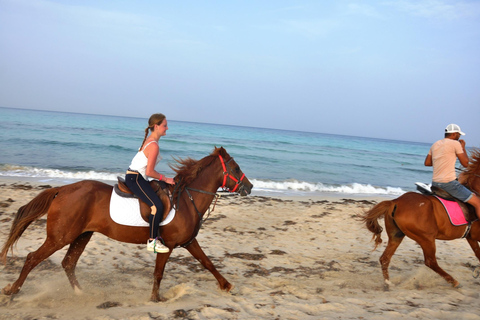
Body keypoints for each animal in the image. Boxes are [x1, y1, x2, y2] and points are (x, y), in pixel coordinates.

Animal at [0, 146, 253, 302]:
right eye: (236, 168)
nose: (249, 187)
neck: (186, 200)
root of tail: (62, 190)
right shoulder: (168, 245)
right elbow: (158, 273)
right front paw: (155, 298)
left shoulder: (189, 242)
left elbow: (207, 263)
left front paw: (226, 285)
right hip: (60, 237)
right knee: (33, 258)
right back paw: (13, 290)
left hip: (82, 235)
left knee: (68, 263)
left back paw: (81, 293)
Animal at [362, 149, 480, 288]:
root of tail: (395, 201)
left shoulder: (471, 237)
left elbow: (478, 254)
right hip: (426, 238)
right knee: (430, 261)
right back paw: (453, 281)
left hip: (397, 235)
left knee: (385, 258)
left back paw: (388, 283)